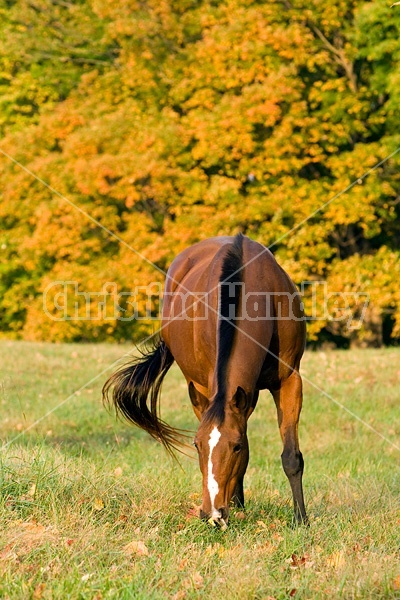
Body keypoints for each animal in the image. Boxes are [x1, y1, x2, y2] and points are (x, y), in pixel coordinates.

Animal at [102, 232, 306, 528]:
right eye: (196, 446)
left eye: (235, 447)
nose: (212, 514)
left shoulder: (290, 380)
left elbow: (291, 457)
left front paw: (301, 519)